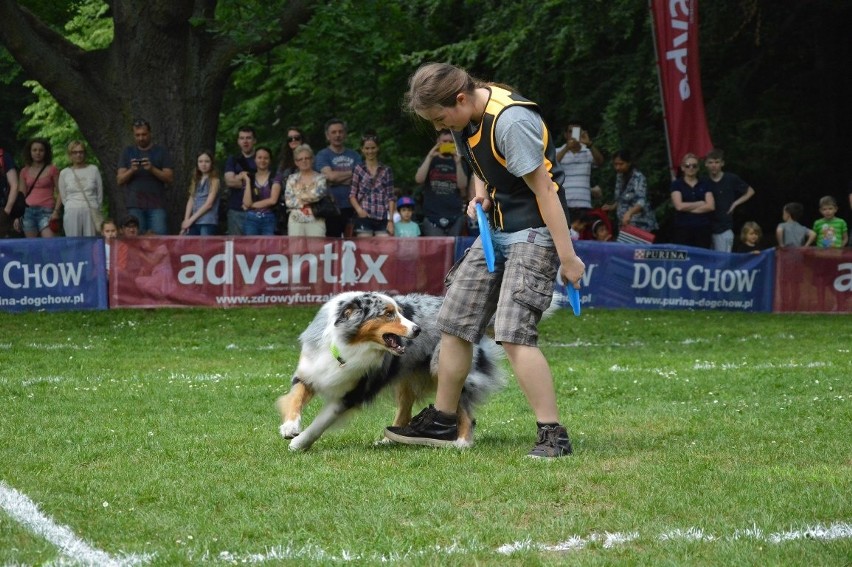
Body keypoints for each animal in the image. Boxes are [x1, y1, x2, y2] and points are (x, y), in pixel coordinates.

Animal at [278, 292, 506, 452]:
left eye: (401, 312)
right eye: (388, 314)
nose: (418, 329)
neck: (345, 345)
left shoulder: (352, 394)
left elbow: (320, 422)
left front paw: (299, 443)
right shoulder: (310, 371)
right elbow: (295, 397)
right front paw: (290, 427)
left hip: (445, 366)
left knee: (466, 411)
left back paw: (462, 443)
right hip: (405, 378)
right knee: (405, 412)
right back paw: (389, 439)